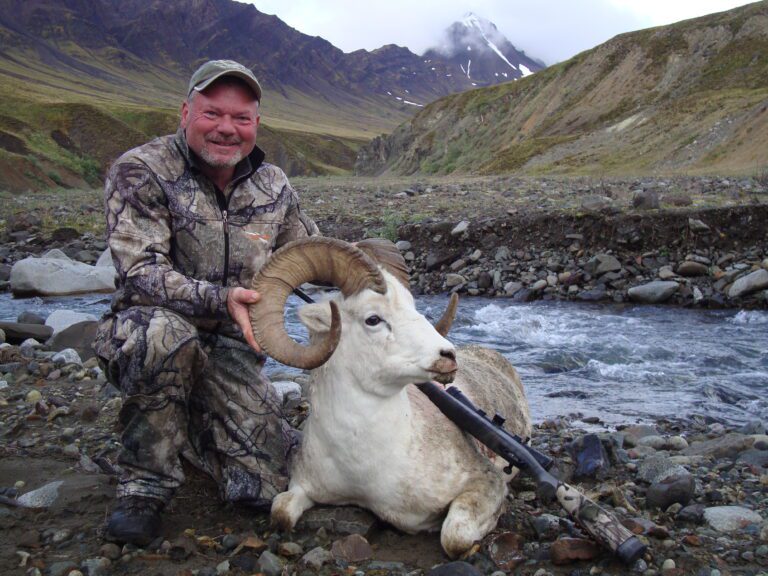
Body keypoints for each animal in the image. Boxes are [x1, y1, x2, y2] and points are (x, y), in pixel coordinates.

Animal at [249, 236, 532, 556]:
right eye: (373, 319)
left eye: (412, 305)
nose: (448, 356)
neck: (367, 467)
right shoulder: (301, 486)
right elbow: (281, 512)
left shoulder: (484, 483)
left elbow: (454, 538)